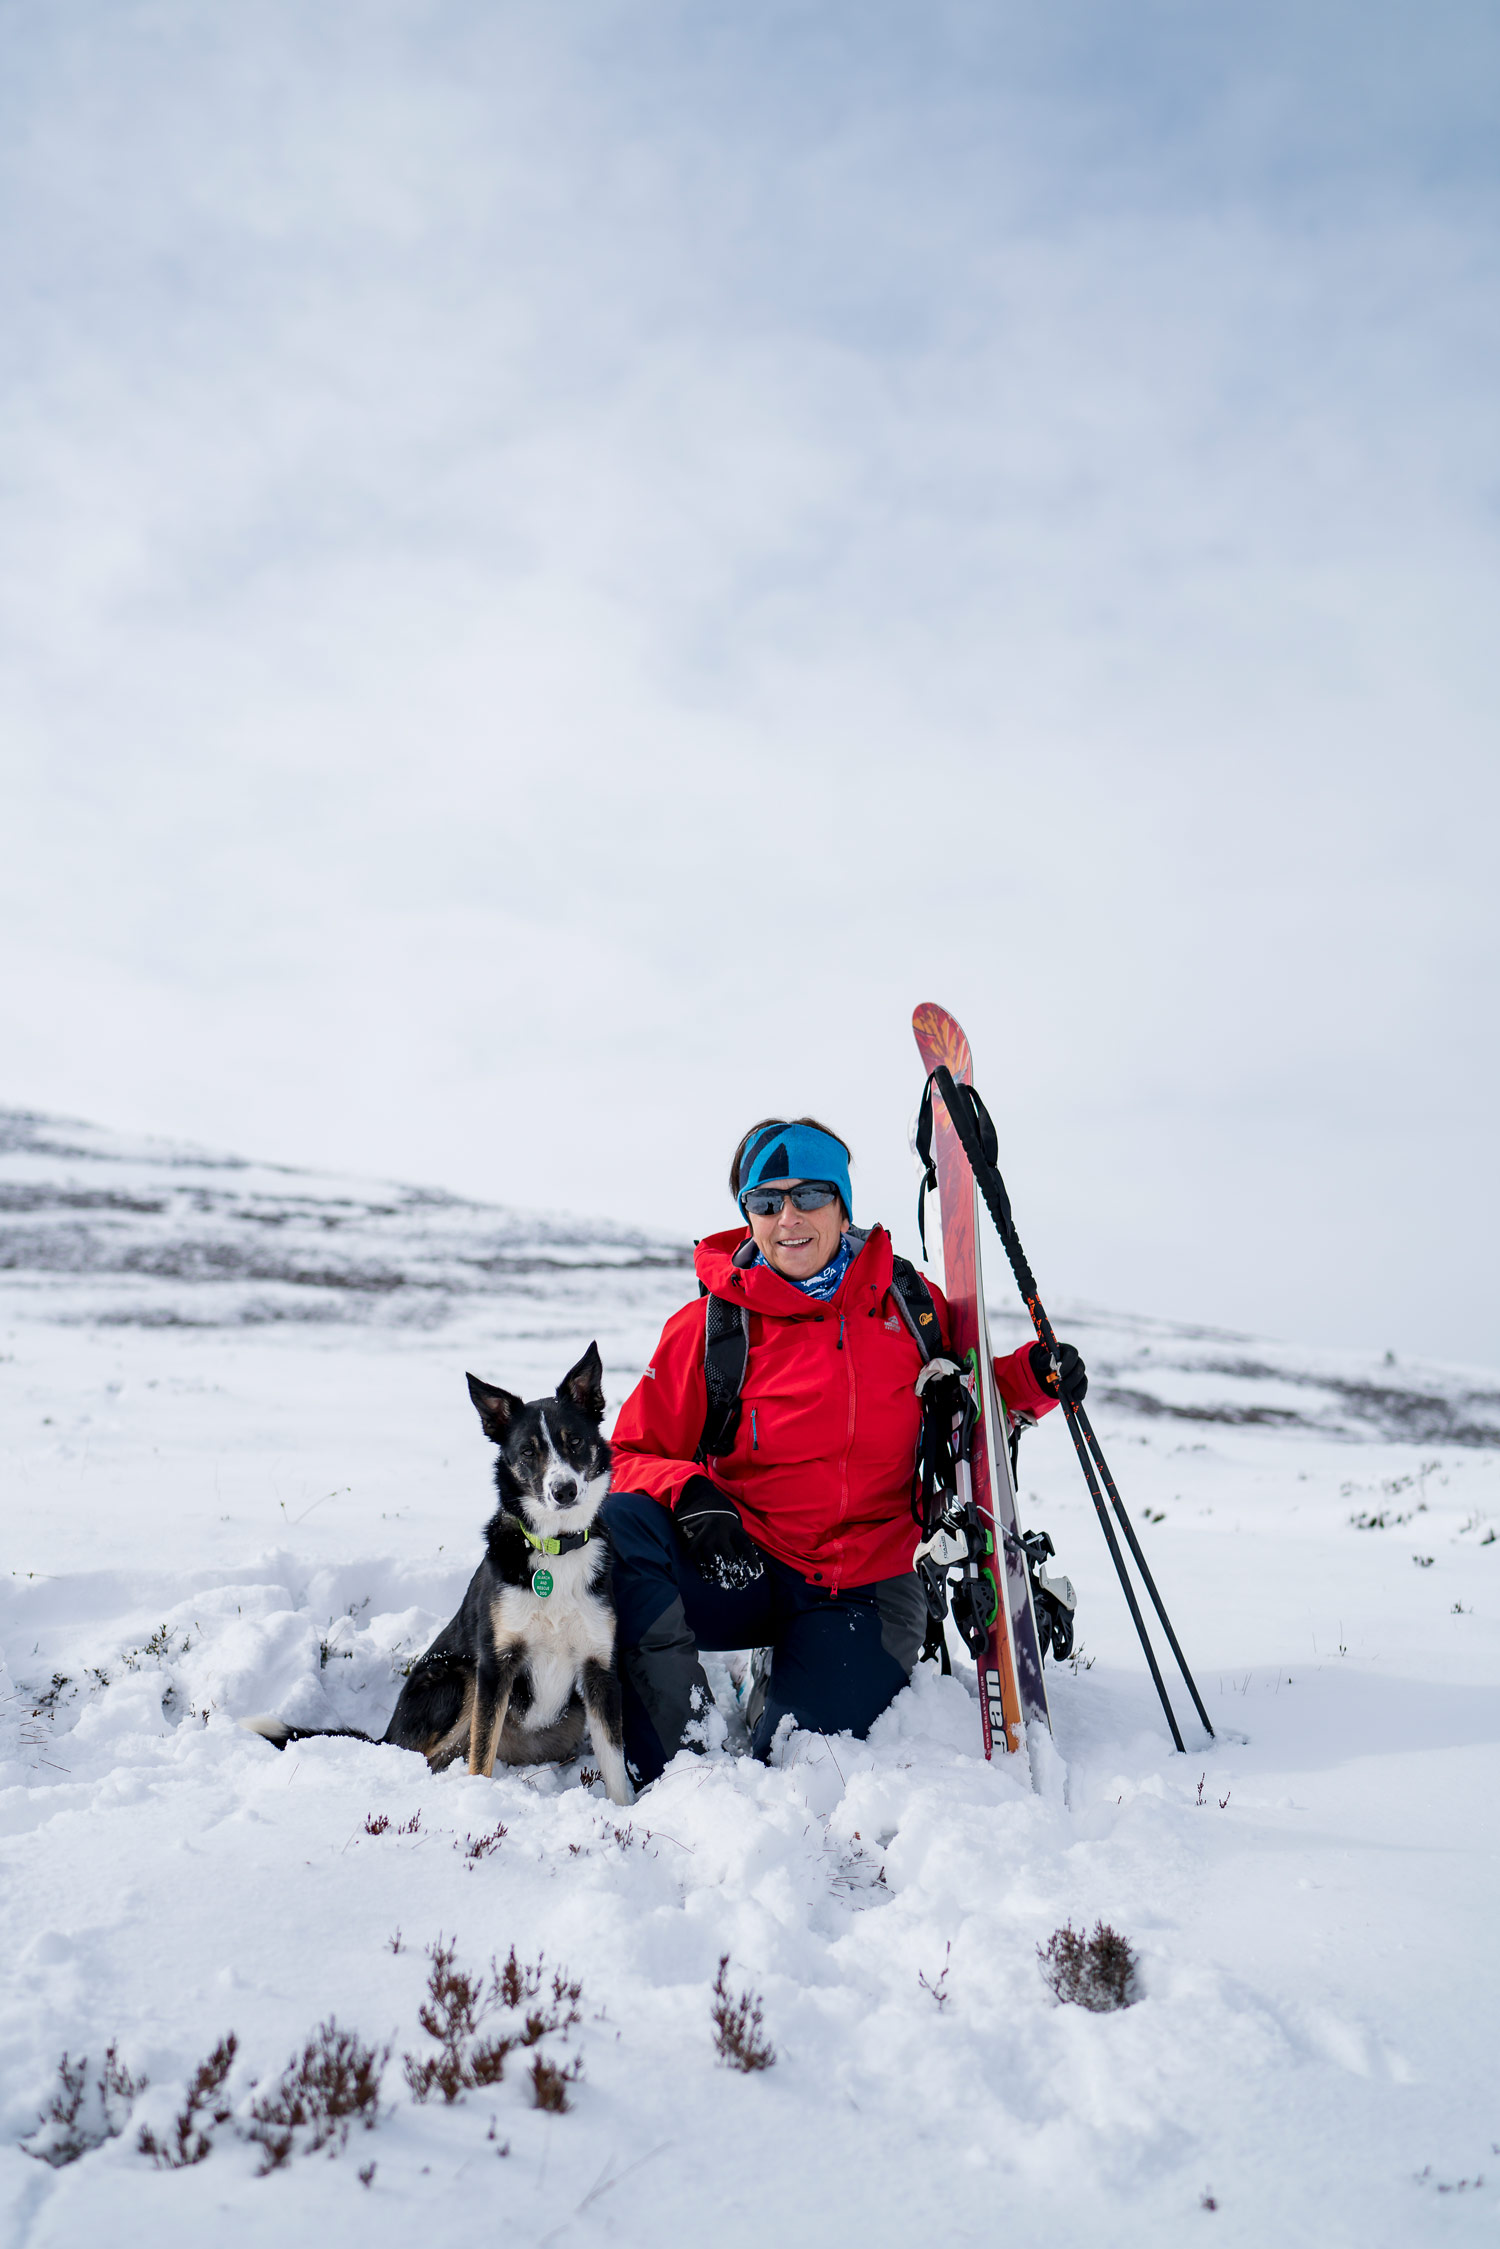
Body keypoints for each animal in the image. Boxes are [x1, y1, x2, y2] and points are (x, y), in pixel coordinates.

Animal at [244, 1331, 629, 1808]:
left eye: (573, 1441)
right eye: (528, 1451)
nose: (564, 1490)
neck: (553, 1551)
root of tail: (386, 1734)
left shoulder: (600, 1668)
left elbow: (615, 1765)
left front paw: (627, 1810)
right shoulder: (495, 1665)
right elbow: (481, 1756)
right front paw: (480, 1800)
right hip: (458, 1676)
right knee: (425, 1755)